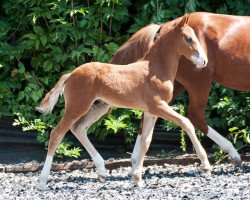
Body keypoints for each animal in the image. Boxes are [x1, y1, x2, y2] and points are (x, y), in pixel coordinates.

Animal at [37, 14, 209, 190]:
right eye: (189, 38)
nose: (203, 61)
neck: (156, 69)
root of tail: (70, 75)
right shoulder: (158, 106)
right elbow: (186, 122)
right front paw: (206, 166)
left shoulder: (150, 111)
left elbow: (145, 142)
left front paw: (137, 179)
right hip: (77, 106)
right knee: (56, 134)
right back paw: (43, 182)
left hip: (98, 108)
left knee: (78, 128)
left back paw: (102, 171)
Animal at [112, 11, 249, 167]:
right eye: (189, 39)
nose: (203, 60)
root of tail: (166, 25)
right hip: (199, 83)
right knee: (196, 117)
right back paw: (232, 153)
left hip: (175, 86)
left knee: (150, 114)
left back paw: (136, 161)